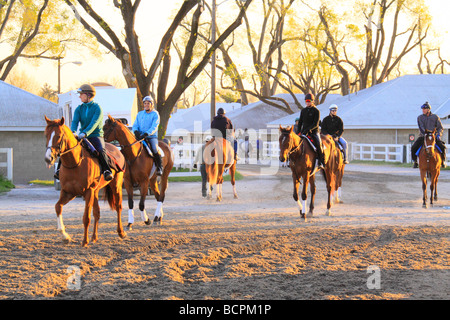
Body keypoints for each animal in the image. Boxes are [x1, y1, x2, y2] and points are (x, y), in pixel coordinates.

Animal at [44, 116, 125, 246]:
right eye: (46, 135)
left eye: (59, 135)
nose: (48, 158)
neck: (75, 163)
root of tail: (116, 149)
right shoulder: (68, 192)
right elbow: (58, 207)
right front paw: (65, 236)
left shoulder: (87, 191)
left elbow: (86, 217)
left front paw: (84, 241)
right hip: (95, 191)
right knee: (97, 213)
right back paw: (94, 237)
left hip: (116, 186)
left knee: (118, 207)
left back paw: (121, 232)